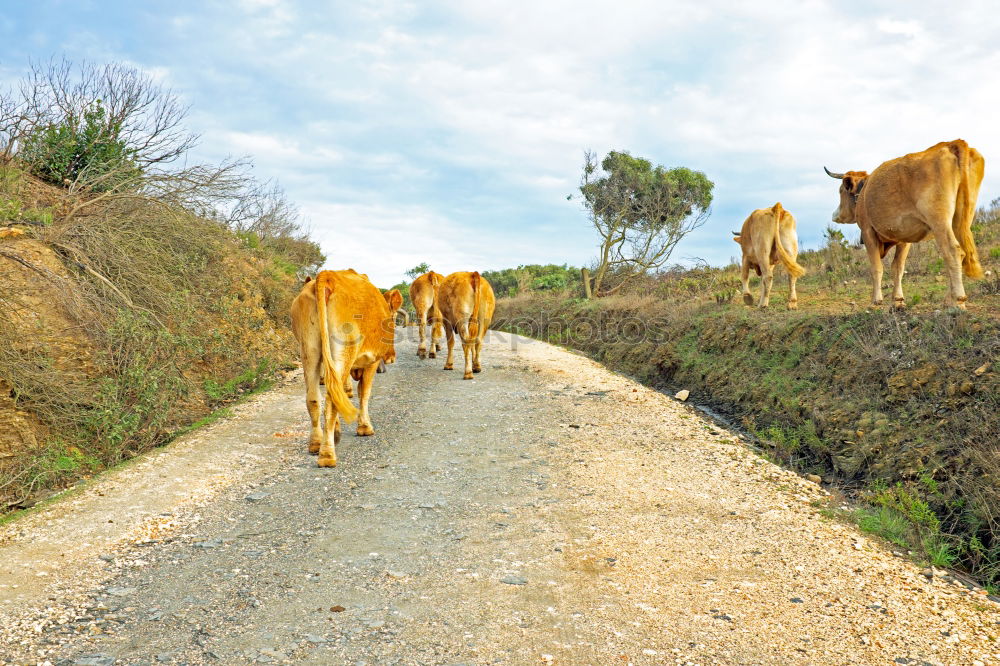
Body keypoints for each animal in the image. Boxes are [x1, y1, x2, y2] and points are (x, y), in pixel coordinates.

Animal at [290, 270, 402, 466]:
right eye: (394, 320)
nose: (391, 357)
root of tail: (327, 276)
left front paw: (337, 431)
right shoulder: (371, 362)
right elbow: (364, 392)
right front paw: (364, 427)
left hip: (309, 349)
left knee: (314, 398)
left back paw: (316, 443)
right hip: (344, 349)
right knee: (331, 401)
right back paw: (327, 455)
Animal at [828, 139, 984, 308]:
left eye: (840, 191)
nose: (834, 215)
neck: (863, 194)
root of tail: (951, 144)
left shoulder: (868, 232)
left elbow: (876, 267)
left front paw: (876, 300)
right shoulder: (904, 239)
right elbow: (898, 267)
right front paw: (898, 300)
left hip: (939, 221)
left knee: (953, 251)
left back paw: (958, 299)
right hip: (961, 220)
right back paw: (949, 299)